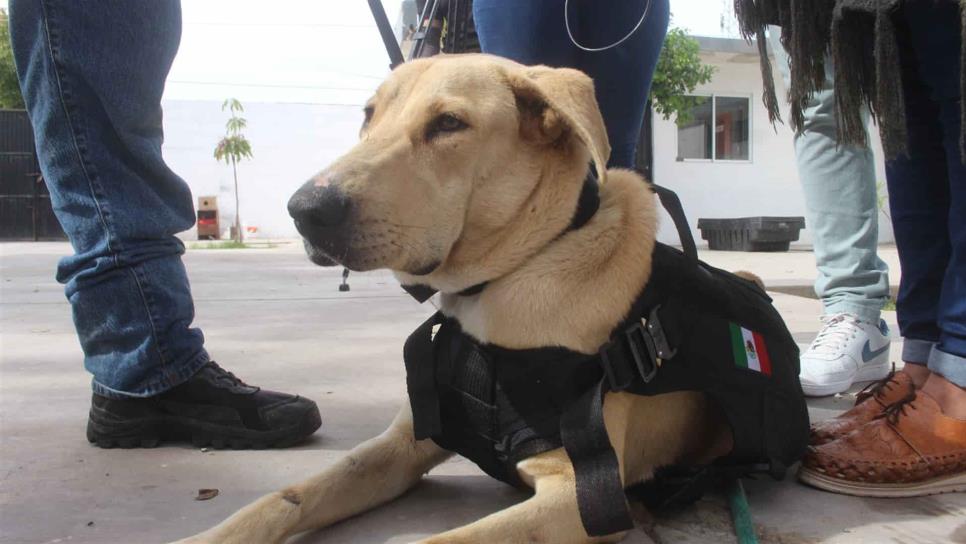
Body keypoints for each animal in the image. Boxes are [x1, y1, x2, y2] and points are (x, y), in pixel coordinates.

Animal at [176, 52, 732, 544]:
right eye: (369, 115)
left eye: (448, 123)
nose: (304, 210)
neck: (506, 277)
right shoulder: (399, 446)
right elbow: (283, 497)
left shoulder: (583, 497)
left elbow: (445, 541)